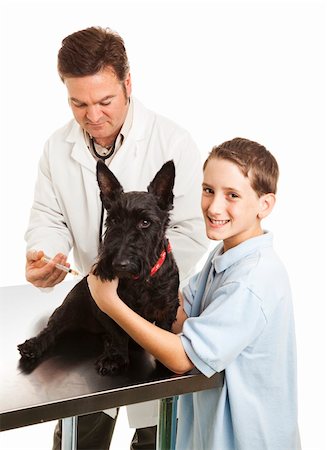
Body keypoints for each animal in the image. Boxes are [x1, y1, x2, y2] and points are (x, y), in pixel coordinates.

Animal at [17, 160, 179, 374]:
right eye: (114, 220)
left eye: (145, 222)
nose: (119, 263)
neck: (138, 281)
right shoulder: (106, 308)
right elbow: (118, 333)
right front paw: (116, 357)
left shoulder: (167, 307)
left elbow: (163, 330)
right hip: (70, 305)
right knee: (52, 328)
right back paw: (33, 346)